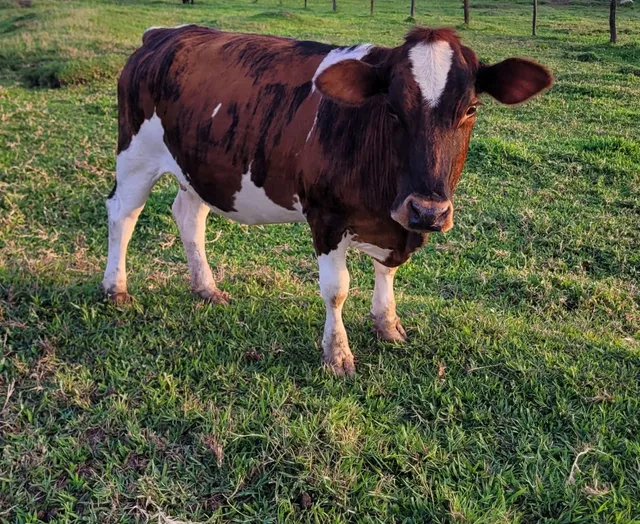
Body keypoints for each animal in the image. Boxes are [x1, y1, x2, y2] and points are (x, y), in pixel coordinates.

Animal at [102, 25, 552, 375]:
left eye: (471, 109)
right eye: (392, 108)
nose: (428, 211)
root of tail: (164, 33)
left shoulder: (395, 224)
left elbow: (387, 272)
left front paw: (387, 324)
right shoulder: (326, 217)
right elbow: (337, 289)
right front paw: (337, 354)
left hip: (198, 168)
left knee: (189, 216)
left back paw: (206, 288)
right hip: (136, 155)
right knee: (123, 214)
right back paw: (115, 289)